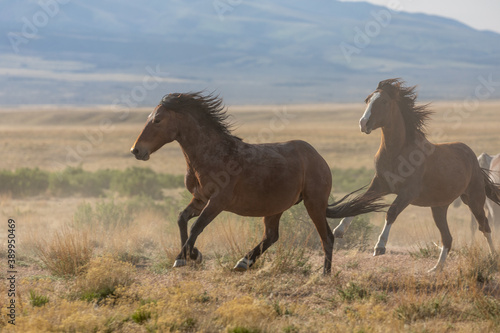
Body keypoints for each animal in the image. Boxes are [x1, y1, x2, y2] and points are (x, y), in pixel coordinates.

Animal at [131, 92, 384, 274]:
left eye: (157, 120)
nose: (136, 150)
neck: (213, 154)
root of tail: (318, 158)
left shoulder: (217, 202)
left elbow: (197, 226)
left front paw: (183, 258)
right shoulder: (199, 198)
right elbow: (182, 219)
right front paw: (192, 255)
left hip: (313, 204)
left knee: (327, 237)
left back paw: (325, 274)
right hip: (275, 207)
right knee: (271, 236)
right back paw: (243, 262)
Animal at [334, 79, 500, 272]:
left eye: (384, 102)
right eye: (367, 100)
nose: (363, 123)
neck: (397, 152)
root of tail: (473, 157)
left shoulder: (408, 193)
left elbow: (391, 212)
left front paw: (380, 246)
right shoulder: (380, 185)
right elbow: (359, 202)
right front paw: (339, 230)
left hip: (474, 199)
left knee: (485, 226)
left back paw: (493, 258)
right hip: (439, 207)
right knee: (447, 237)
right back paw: (436, 269)